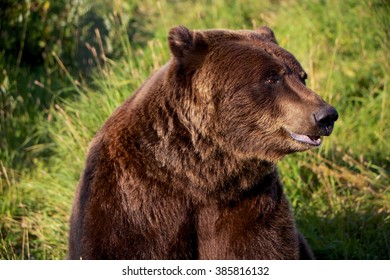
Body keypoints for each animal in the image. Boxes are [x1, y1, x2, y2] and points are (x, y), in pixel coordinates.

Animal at [69, 25, 338, 260]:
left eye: (302, 76)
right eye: (271, 78)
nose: (326, 115)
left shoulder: (246, 199)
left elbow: (259, 248)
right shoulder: (130, 205)